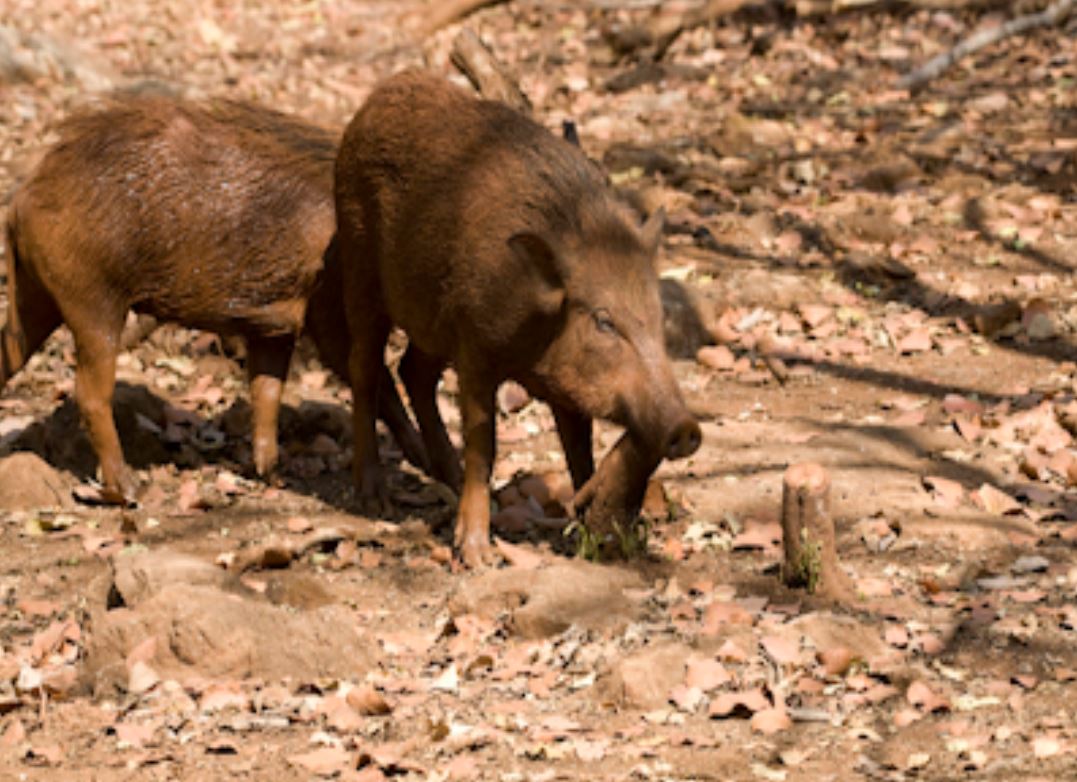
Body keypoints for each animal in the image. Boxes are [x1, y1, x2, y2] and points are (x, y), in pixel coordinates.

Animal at [1, 95, 426, 504]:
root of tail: (22, 199)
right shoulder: (329, 313)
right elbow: (376, 380)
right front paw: (422, 464)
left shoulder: (274, 327)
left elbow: (267, 389)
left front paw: (272, 475)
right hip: (93, 301)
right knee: (90, 393)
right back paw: (132, 490)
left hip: (39, 297)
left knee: (10, 354)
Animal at [334, 71, 701, 566]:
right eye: (604, 320)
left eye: (658, 316)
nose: (686, 427)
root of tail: (373, 101)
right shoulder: (475, 350)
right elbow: (483, 442)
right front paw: (476, 556)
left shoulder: (559, 385)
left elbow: (578, 450)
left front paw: (584, 536)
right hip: (360, 268)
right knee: (366, 370)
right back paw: (376, 499)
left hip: (432, 321)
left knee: (413, 371)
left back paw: (448, 477)